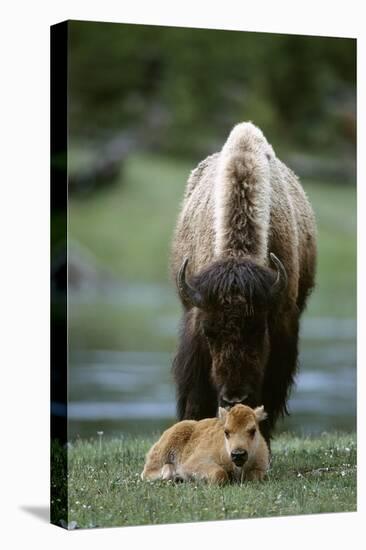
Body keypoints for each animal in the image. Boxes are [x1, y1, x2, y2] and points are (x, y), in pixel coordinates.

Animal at [140, 404, 268, 486]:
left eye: (253, 430)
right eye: (226, 432)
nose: (238, 454)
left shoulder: (260, 468)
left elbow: (254, 477)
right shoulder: (193, 462)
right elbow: (219, 473)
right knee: (148, 472)